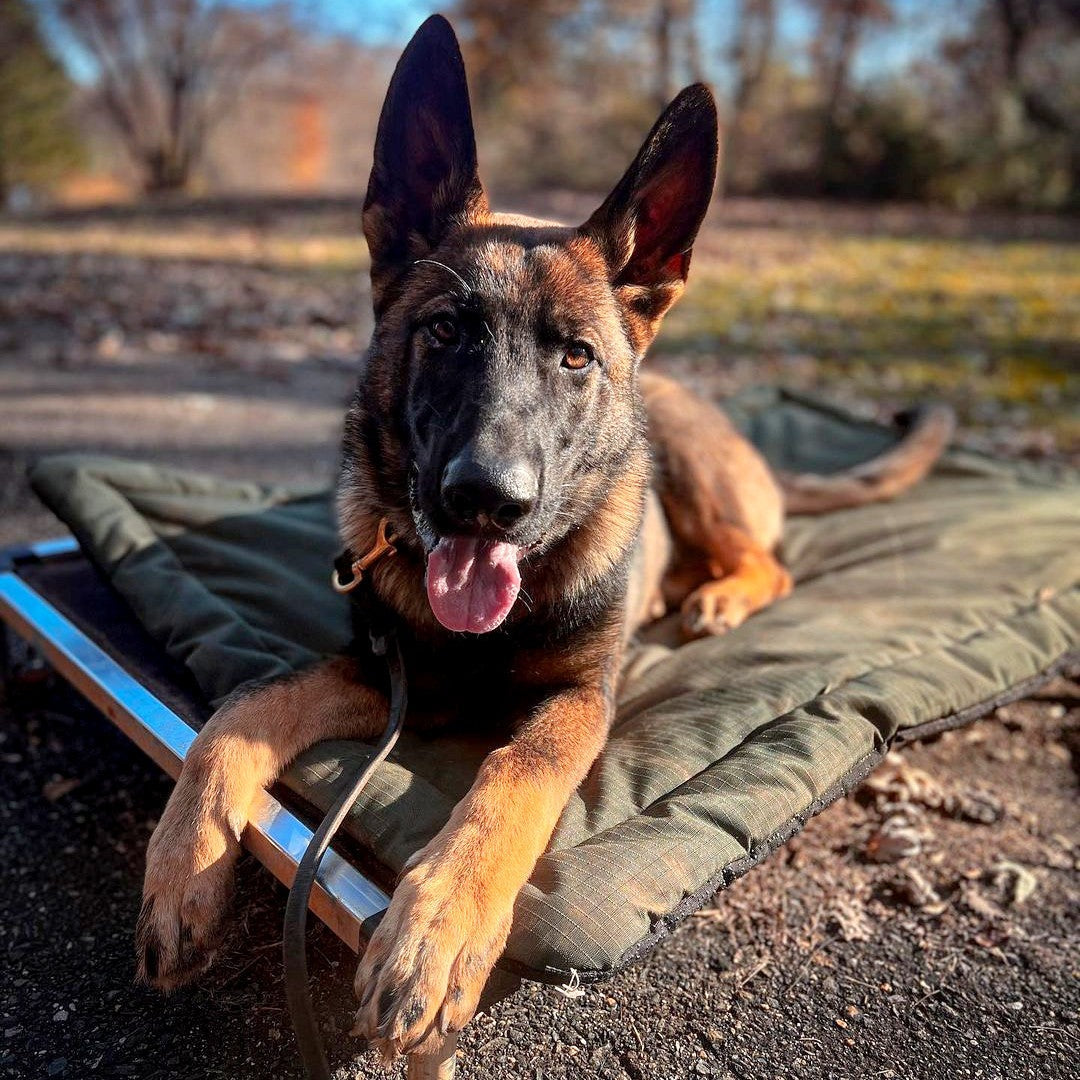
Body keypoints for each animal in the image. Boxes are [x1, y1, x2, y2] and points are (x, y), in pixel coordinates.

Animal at [136, 13, 953, 1061]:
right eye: (445, 331)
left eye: (576, 356)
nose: (487, 501)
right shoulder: (384, 674)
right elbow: (234, 715)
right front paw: (182, 871)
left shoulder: (578, 702)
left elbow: (512, 773)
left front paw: (438, 926)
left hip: (691, 464)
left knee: (769, 560)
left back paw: (719, 596)